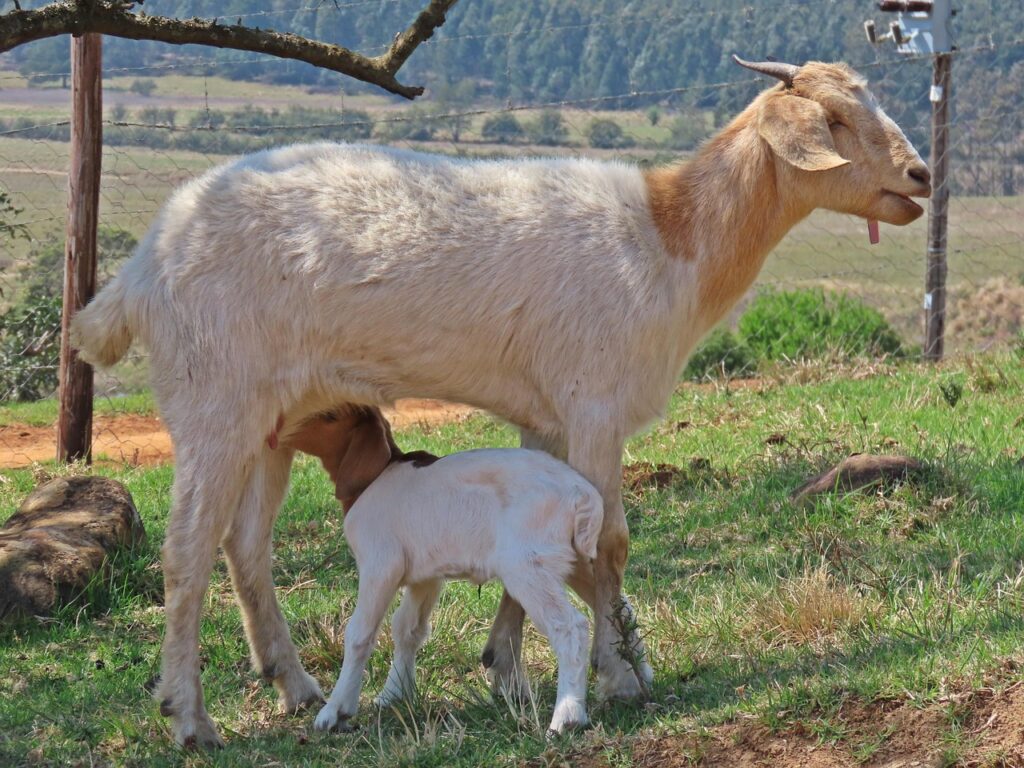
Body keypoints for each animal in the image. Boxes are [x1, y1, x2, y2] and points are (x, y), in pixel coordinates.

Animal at [288, 410, 601, 735]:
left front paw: (334, 711)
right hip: (575, 562)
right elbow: (407, 628)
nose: (284, 432)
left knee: (570, 626)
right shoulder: (424, 577)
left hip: (527, 564)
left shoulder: (381, 565)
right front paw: (394, 694)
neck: (377, 477)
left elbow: (359, 633)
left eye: (330, 416)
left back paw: (567, 715)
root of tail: (582, 494)